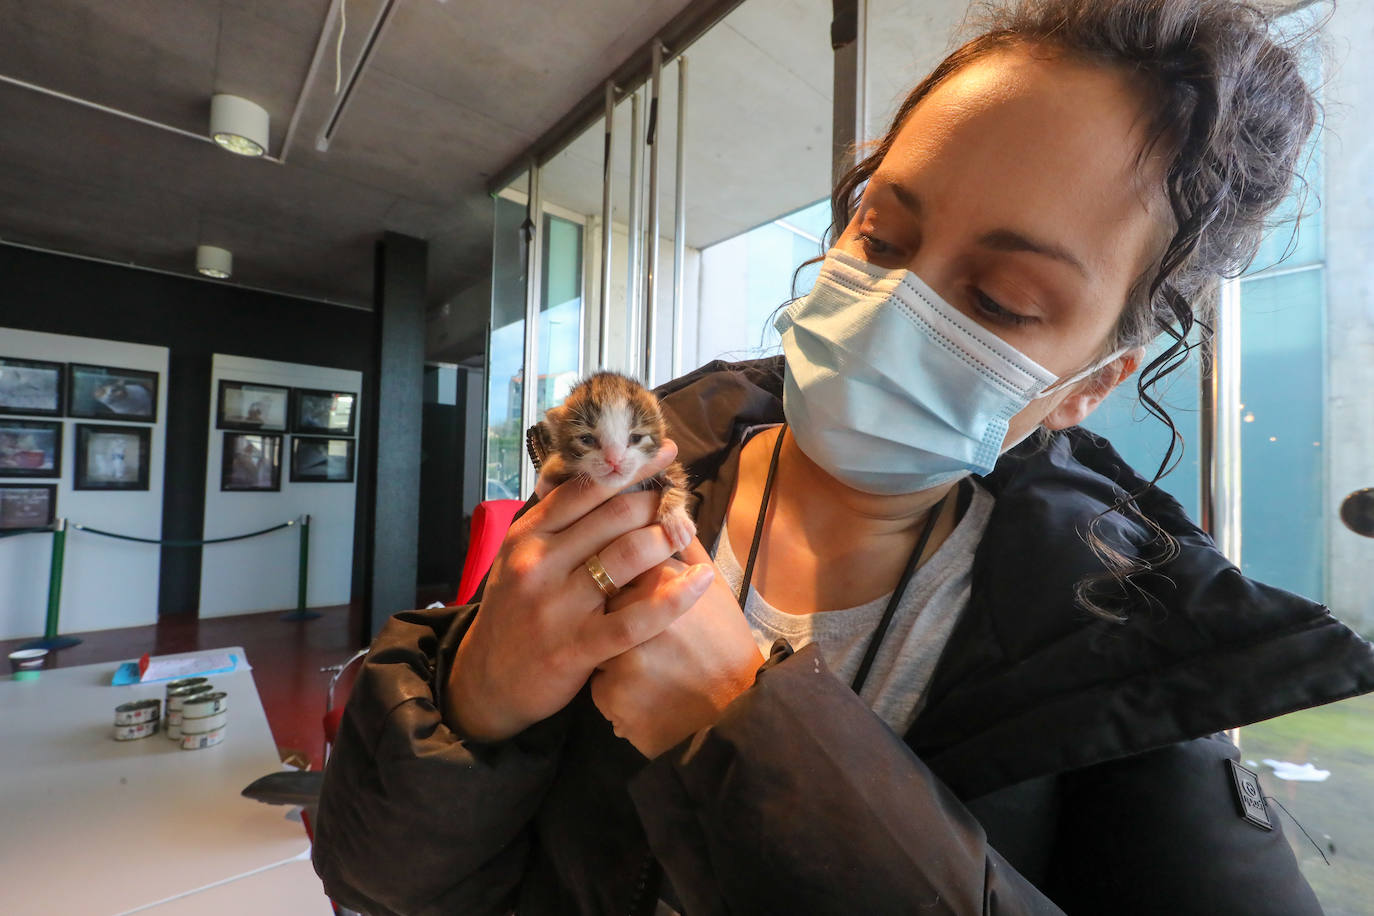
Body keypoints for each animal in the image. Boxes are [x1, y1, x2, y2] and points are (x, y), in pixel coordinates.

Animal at [524, 370, 697, 552]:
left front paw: (677, 521)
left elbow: (676, 479)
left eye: (636, 438)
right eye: (587, 439)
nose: (614, 460)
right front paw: (546, 481)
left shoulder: (664, 461)